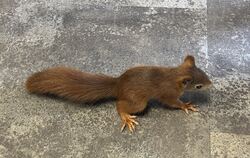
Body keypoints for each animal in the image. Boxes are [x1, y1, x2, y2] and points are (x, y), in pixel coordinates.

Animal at [26, 55, 212, 132]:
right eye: (199, 86)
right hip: (138, 102)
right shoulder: (168, 93)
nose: (211, 84)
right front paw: (186, 105)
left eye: (204, 72)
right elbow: (173, 103)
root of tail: (118, 85)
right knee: (120, 104)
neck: (174, 75)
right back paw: (126, 118)